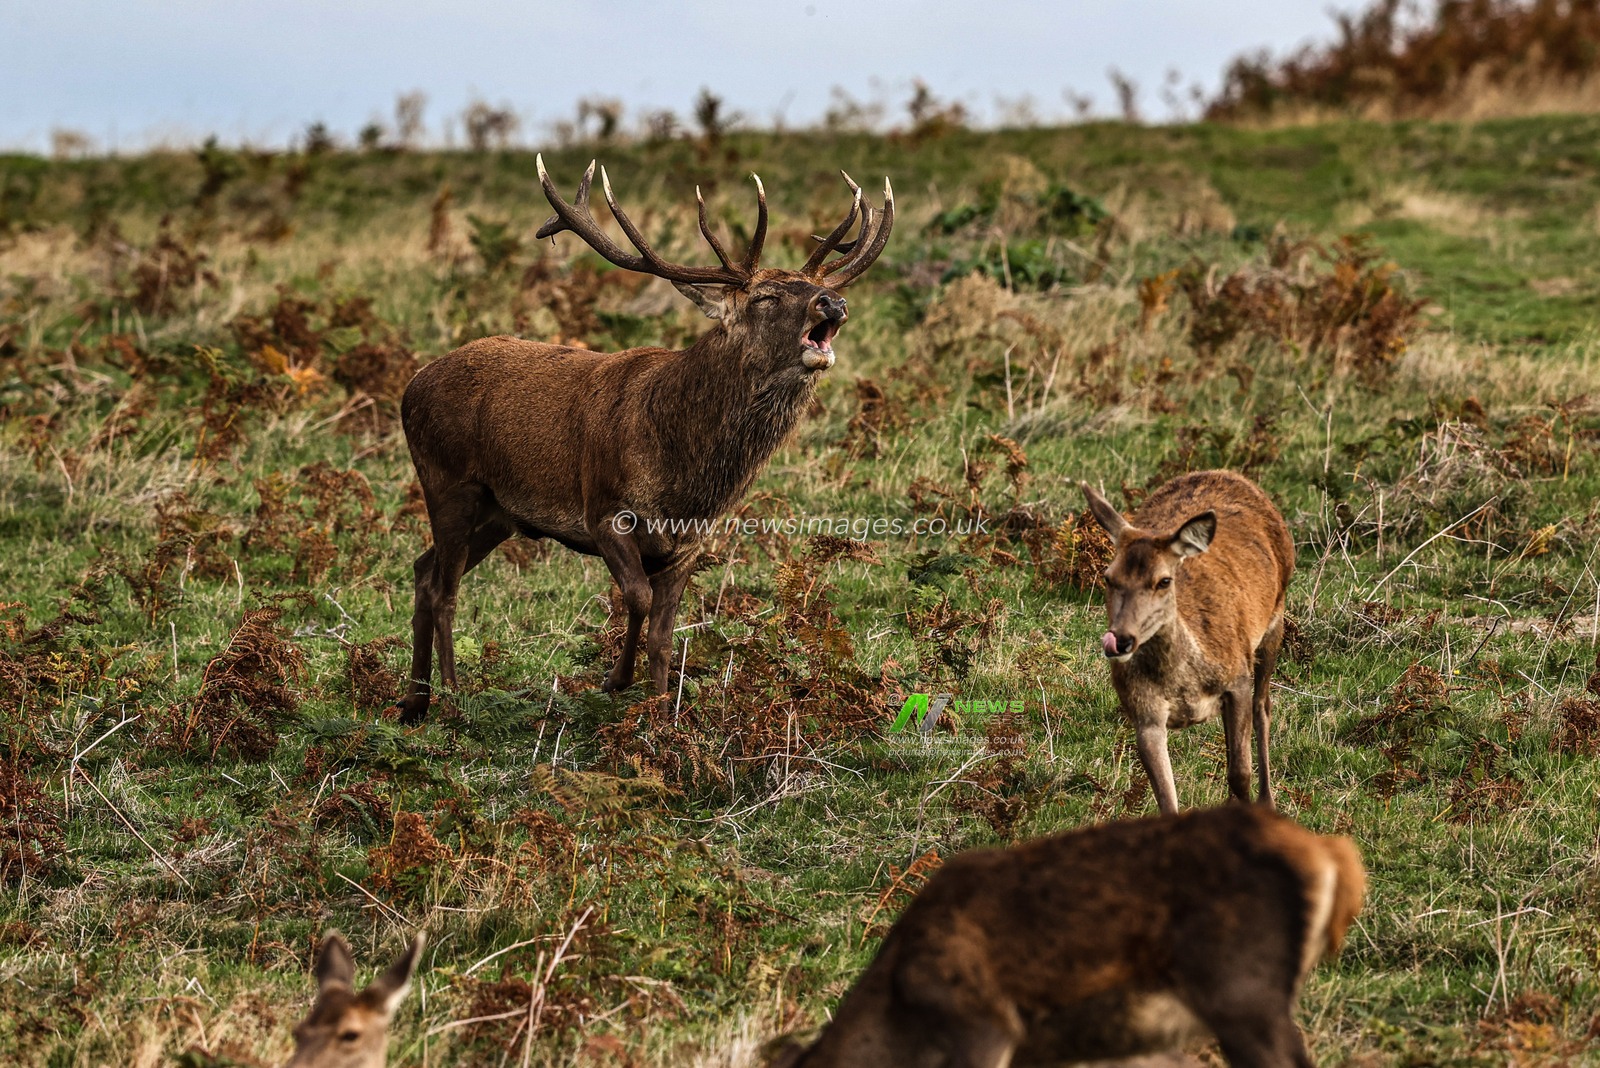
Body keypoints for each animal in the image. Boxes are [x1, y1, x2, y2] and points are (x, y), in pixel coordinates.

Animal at [395, 158, 893, 722]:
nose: (832, 300)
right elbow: (635, 598)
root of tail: (412, 386)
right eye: (765, 297)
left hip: (499, 513)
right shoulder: (603, 509)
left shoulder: (689, 542)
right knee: (444, 587)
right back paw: (452, 695)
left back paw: (415, 699)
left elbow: (664, 634)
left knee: (423, 570)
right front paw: (615, 680)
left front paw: (658, 711)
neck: (682, 476)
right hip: (447, 481)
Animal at [1079, 470, 1295, 816]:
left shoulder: (1237, 678)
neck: (1185, 682)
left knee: (1263, 707)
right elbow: (1167, 798)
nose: (1121, 640)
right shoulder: (1144, 711)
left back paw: (1268, 801)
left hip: (1276, 618)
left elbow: (1240, 773)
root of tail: (1224, 473)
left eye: (1164, 580)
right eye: (1108, 577)